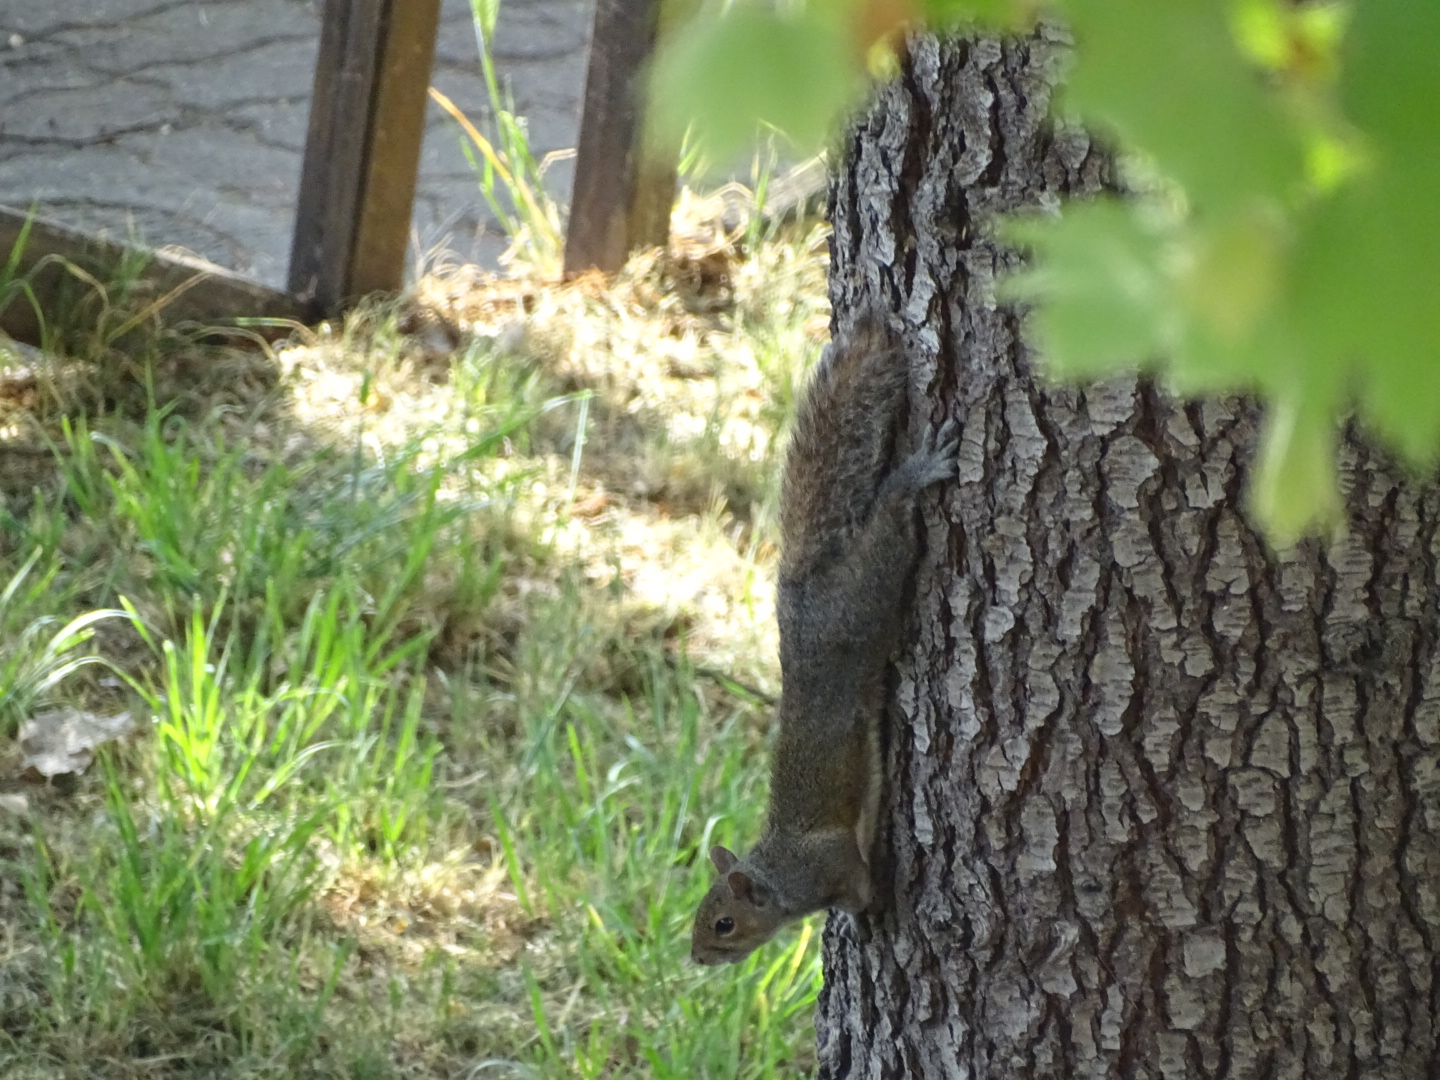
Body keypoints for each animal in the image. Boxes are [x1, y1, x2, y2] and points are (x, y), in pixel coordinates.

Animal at [689, 315, 958, 965]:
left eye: (724, 924)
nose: (697, 958)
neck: (781, 873)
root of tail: (800, 591)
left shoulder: (831, 864)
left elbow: (858, 885)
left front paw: (867, 914)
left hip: (863, 598)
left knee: (888, 525)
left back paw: (916, 473)